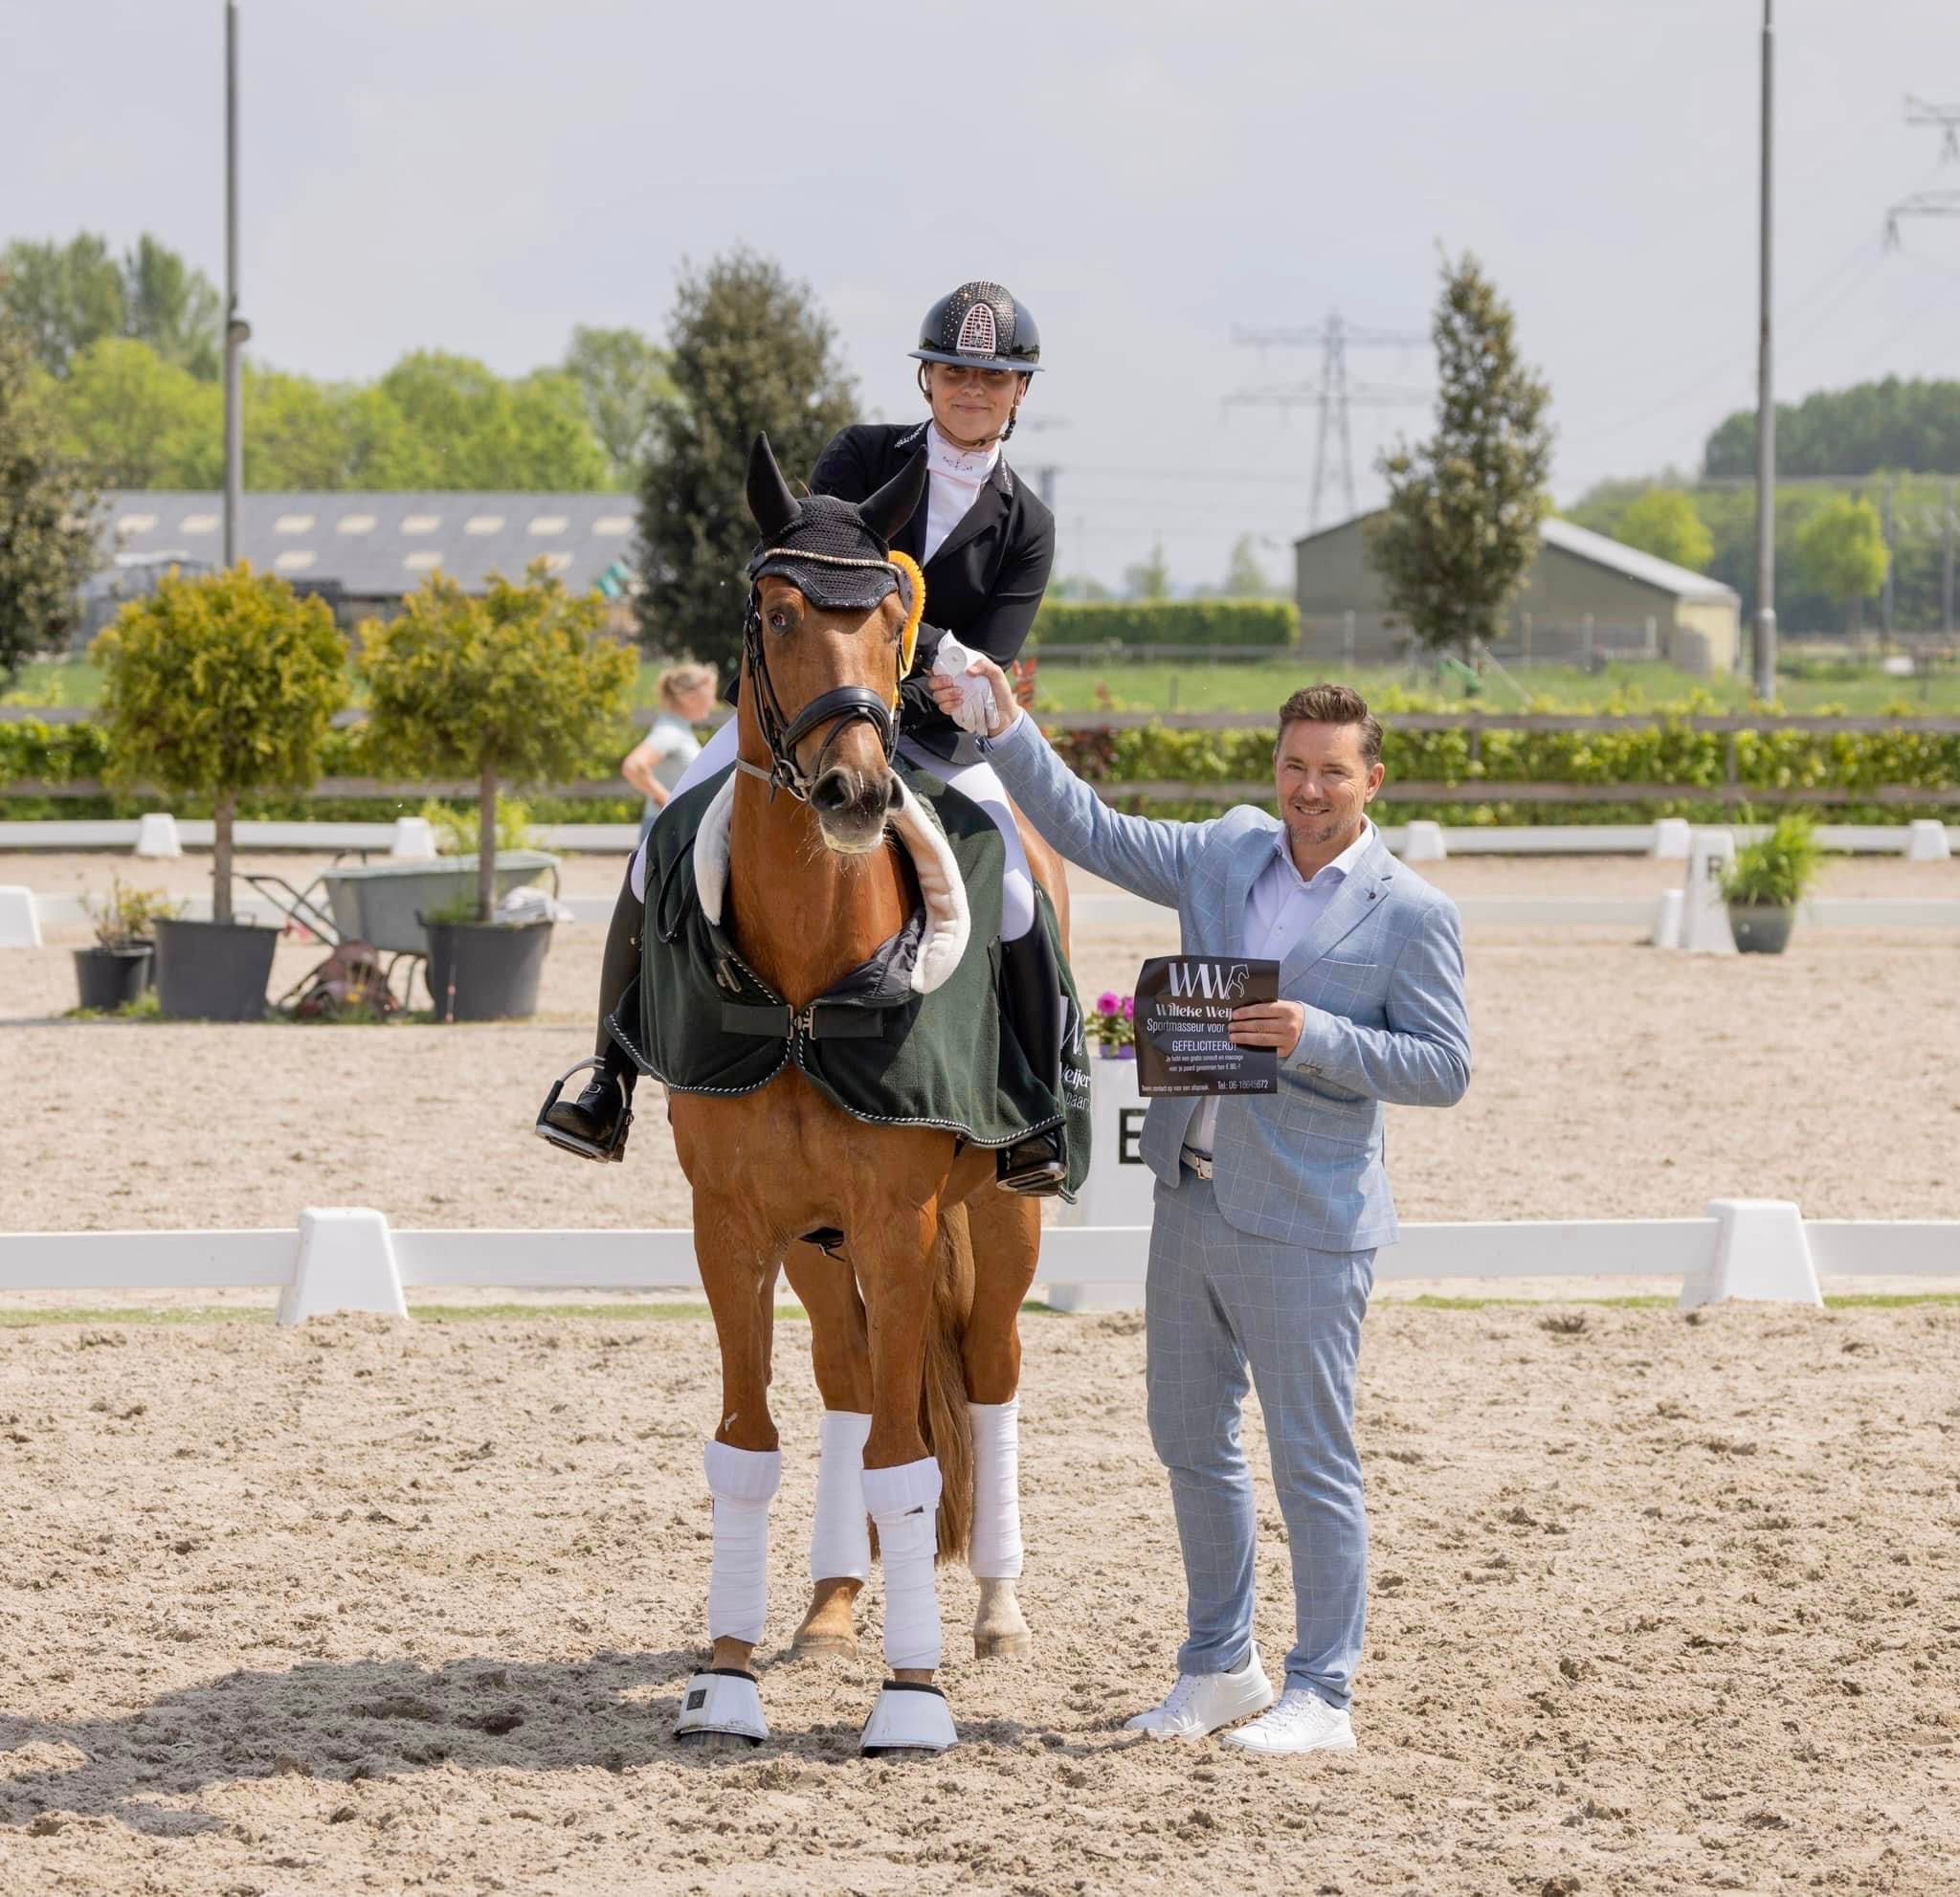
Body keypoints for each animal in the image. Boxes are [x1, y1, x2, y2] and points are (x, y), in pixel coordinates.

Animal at [670, 436, 1074, 1755]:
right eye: (777, 611)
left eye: (896, 617)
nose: (855, 790)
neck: (808, 968)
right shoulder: (733, 1227)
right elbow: (747, 1443)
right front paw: (728, 1678)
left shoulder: (901, 1226)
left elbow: (908, 1456)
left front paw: (912, 1695)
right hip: (817, 1240)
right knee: (846, 1378)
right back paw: (832, 1600)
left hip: (997, 1214)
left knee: (989, 1370)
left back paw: (993, 1610)